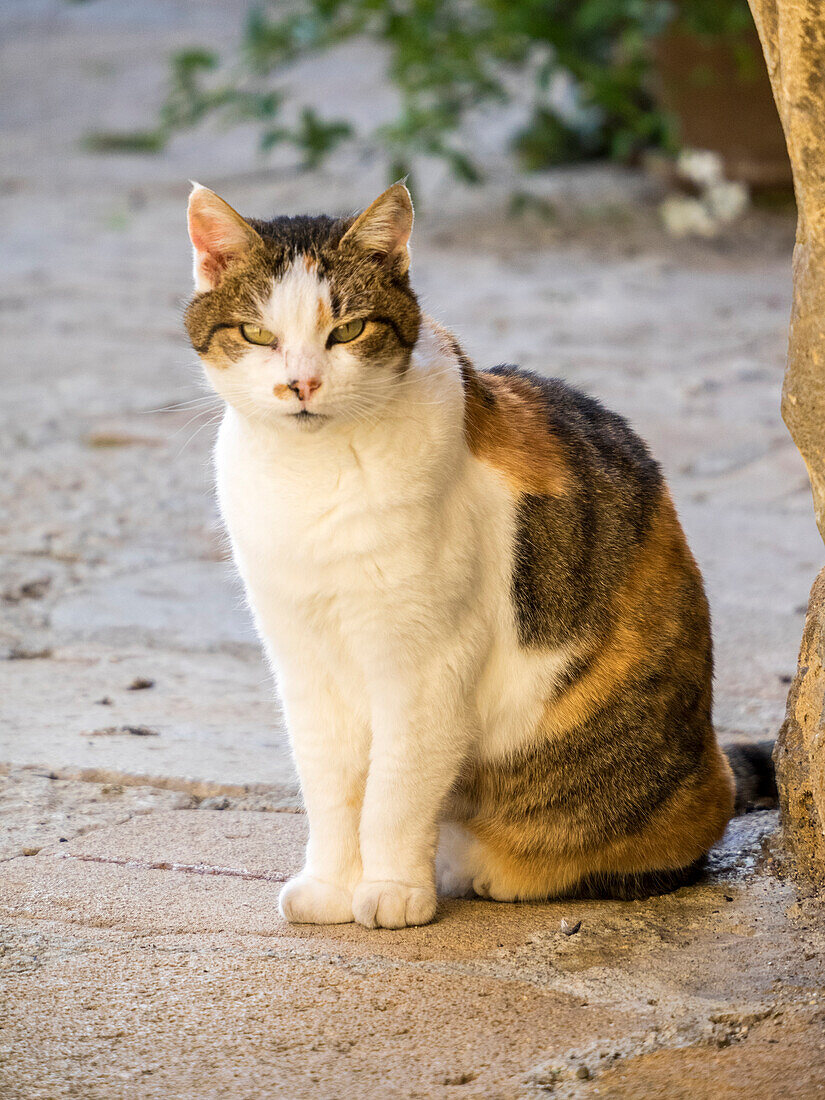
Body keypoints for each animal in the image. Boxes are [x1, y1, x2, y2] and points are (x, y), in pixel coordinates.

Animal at [183, 182, 774, 928]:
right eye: (257, 334)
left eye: (347, 331)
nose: (302, 385)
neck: (309, 479)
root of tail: (713, 766)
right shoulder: (302, 658)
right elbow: (329, 785)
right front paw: (331, 884)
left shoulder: (427, 664)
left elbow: (395, 791)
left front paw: (391, 891)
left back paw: (497, 872)